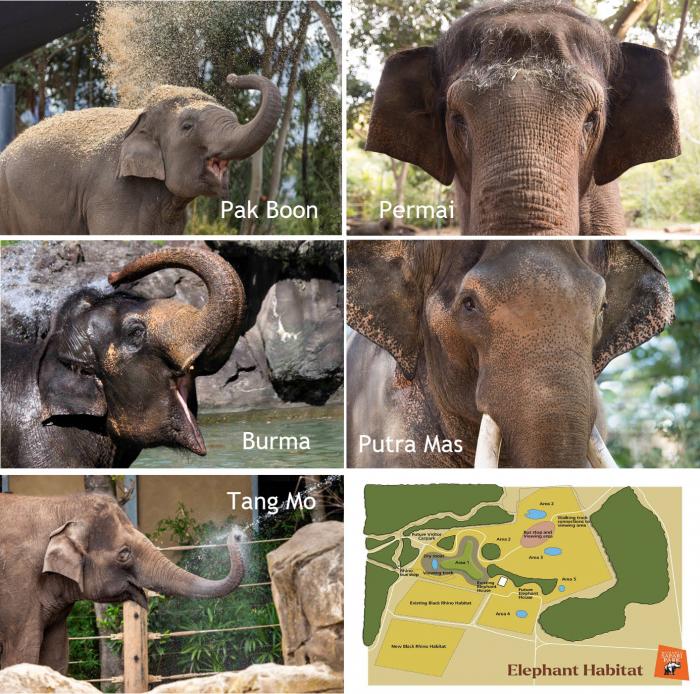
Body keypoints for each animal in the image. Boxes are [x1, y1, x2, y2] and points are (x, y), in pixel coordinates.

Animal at [0, 492, 244, 674]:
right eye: (124, 554)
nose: (236, 534)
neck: (60, 506)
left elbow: (55, 657)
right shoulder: (18, 582)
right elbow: (22, 654)